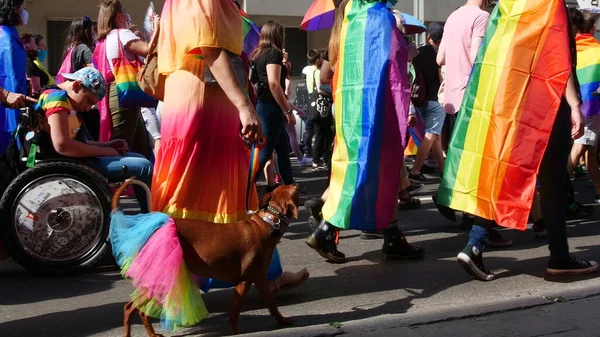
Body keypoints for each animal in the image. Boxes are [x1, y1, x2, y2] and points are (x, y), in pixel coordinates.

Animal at [112, 181, 302, 336]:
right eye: (294, 189)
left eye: (284, 186)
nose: (297, 183)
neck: (266, 224)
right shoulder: (244, 282)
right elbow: (235, 311)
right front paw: (236, 332)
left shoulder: (260, 279)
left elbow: (272, 305)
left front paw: (283, 321)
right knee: (132, 309)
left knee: (137, 309)